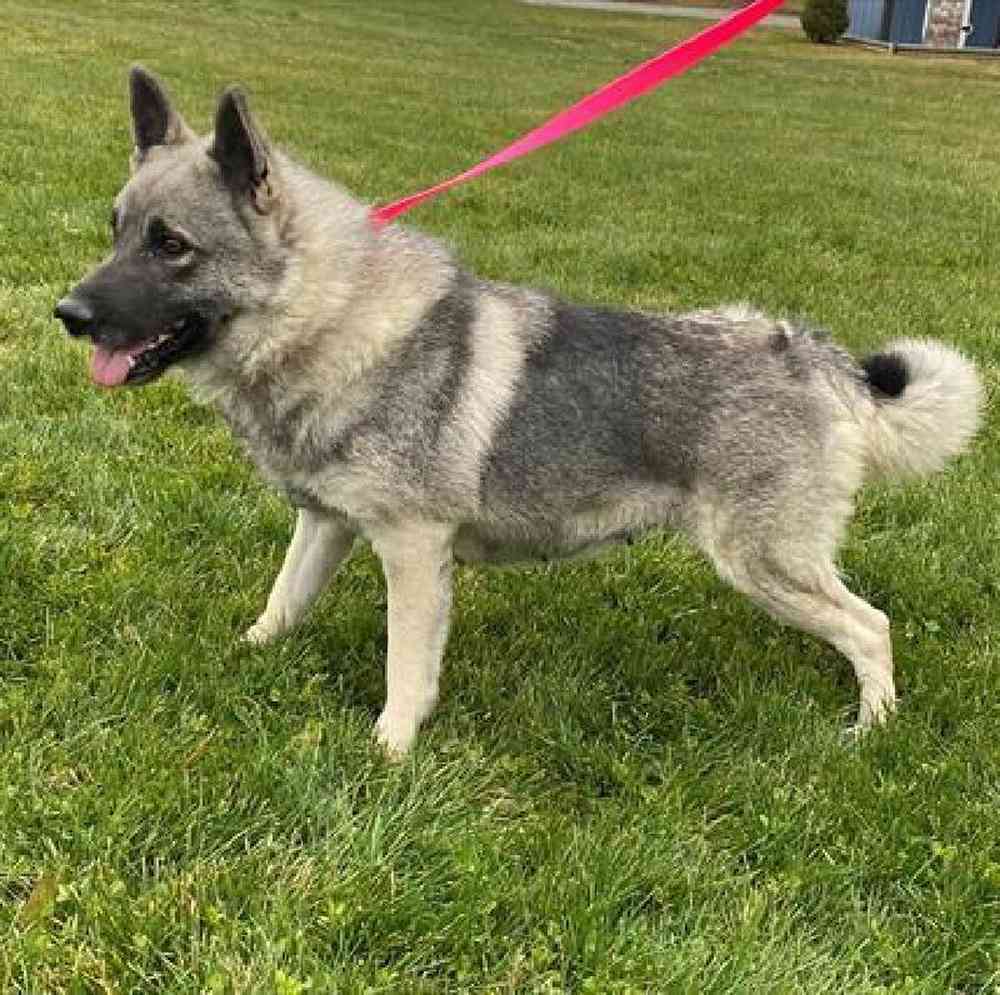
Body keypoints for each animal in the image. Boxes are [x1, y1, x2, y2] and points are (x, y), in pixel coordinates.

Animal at [56, 68, 984, 756]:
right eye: (116, 229)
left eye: (171, 246)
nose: (67, 312)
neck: (333, 319)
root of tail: (812, 356)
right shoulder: (325, 526)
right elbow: (281, 606)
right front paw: (241, 658)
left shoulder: (413, 551)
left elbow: (405, 670)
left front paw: (390, 753)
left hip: (765, 563)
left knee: (872, 627)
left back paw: (871, 731)